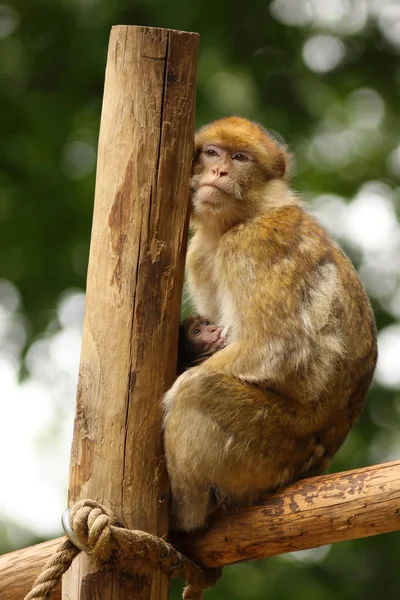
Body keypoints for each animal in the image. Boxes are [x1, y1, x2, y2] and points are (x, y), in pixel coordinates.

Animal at [162, 117, 378, 528]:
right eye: (211, 152)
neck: (240, 220)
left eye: (240, 158)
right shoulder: (201, 254)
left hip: (276, 448)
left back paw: (186, 514)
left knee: (199, 391)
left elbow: (277, 345)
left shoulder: (253, 245)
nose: (219, 171)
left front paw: (173, 388)